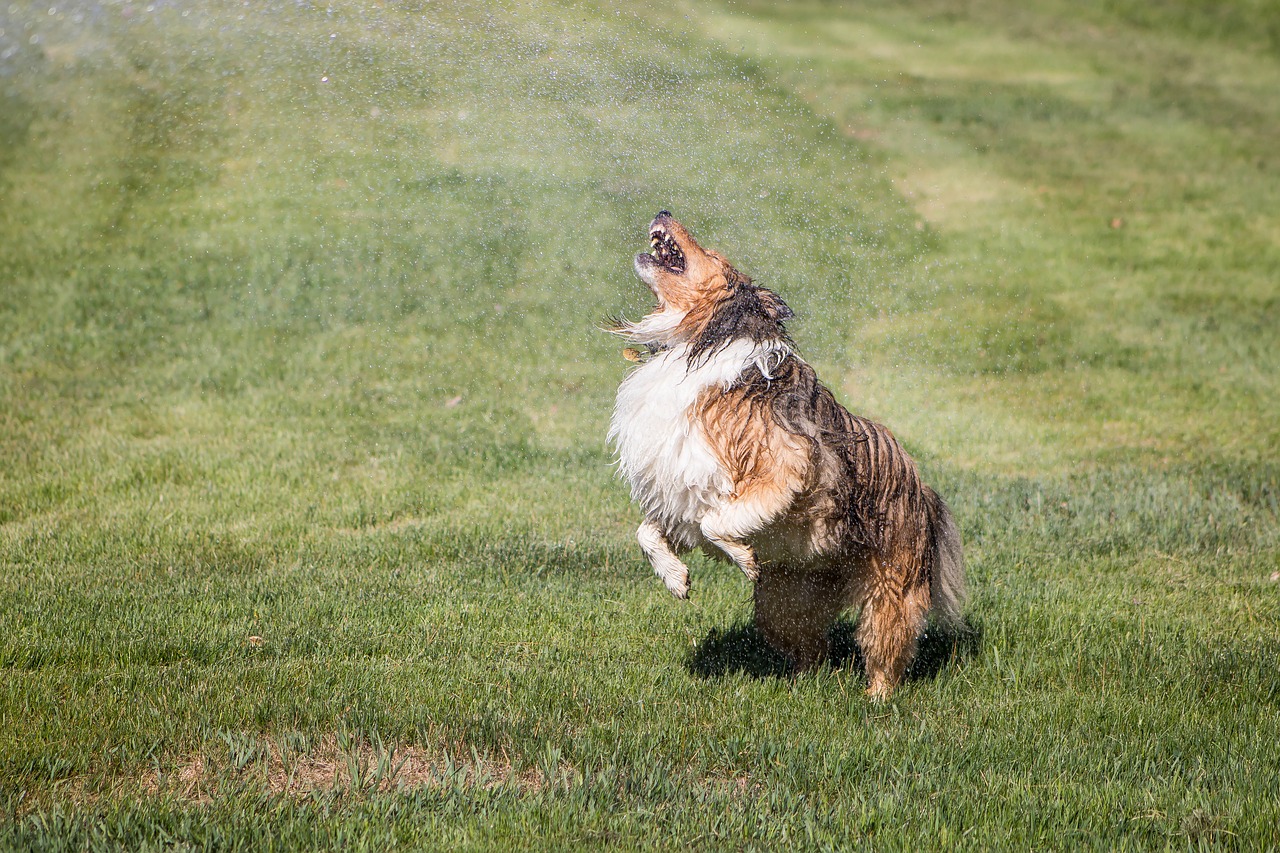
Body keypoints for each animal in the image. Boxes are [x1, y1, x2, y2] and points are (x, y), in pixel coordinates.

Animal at [606, 208, 962, 696]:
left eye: (711, 251)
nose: (664, 211)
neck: (697, 343)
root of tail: (924, 489)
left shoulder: (786, 465)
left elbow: (717, 521)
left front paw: (741, 557)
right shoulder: (681, 485)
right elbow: (647, 531)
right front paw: (676, 578)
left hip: (889, 591)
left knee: (886, 650)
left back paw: (875, 699)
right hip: (786, 600)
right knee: (812, 649)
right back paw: (799, 686)